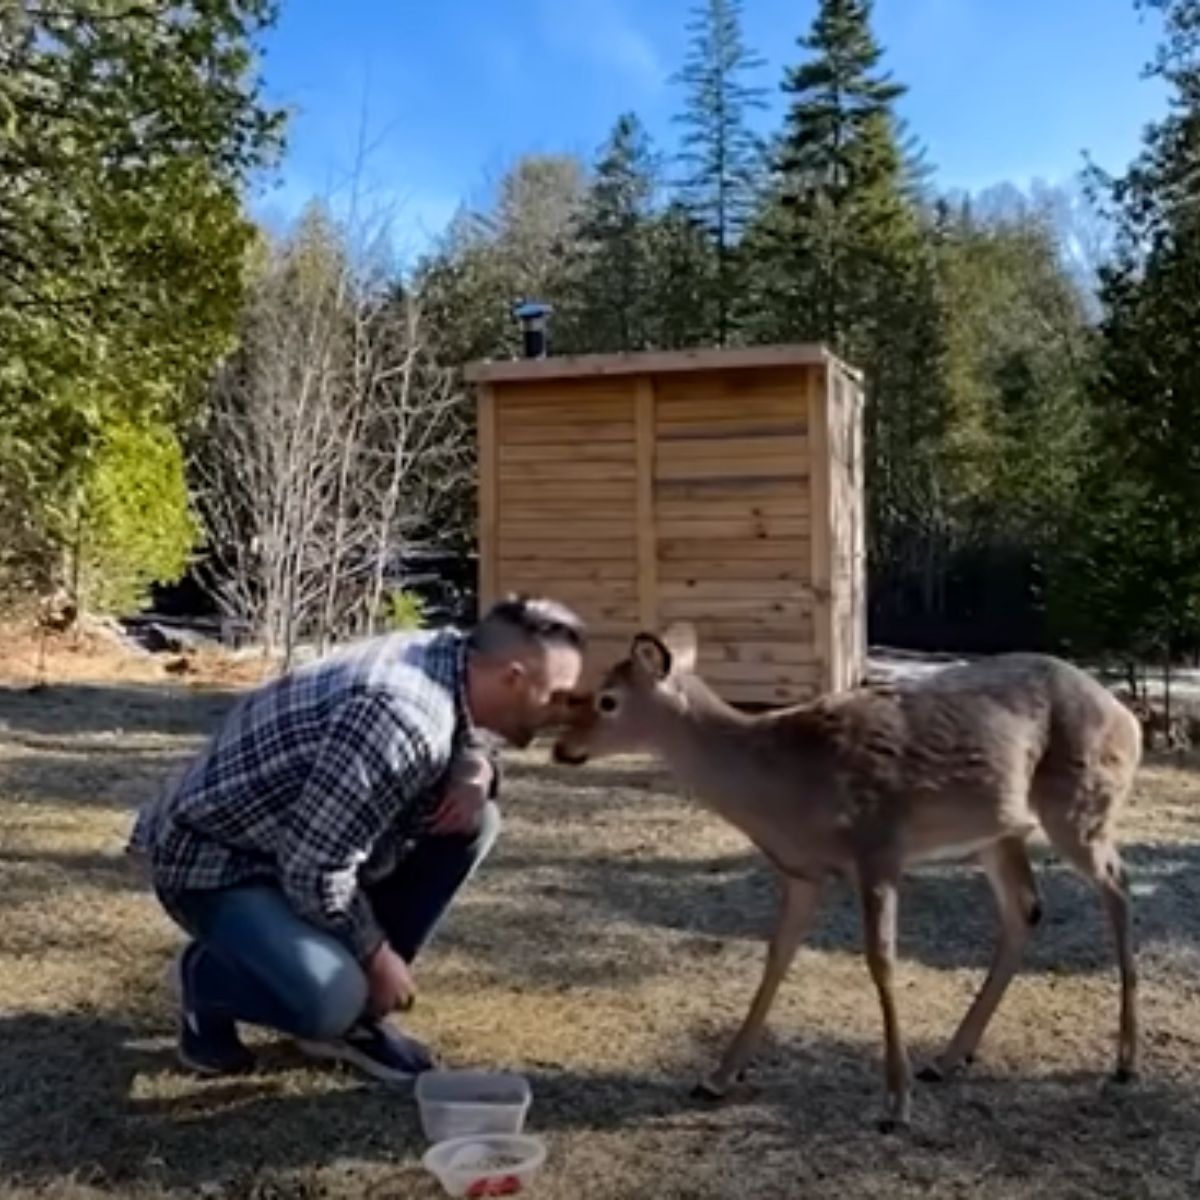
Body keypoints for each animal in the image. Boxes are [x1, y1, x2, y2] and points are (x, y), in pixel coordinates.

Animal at [549, 628, 1137, 1132]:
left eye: (607, 699)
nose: (561, 749)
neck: (786, 785)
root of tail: (1127, 716)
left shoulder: (878, 846)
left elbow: (880, 960)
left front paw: (895, 1105)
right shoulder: (802, 871)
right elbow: (776, 955)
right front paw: (716, 1077)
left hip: (1078, 805)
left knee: (1117, 886)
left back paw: (1125, 1062)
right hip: (997, 833)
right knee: (1025, 908)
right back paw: (948, 1058)